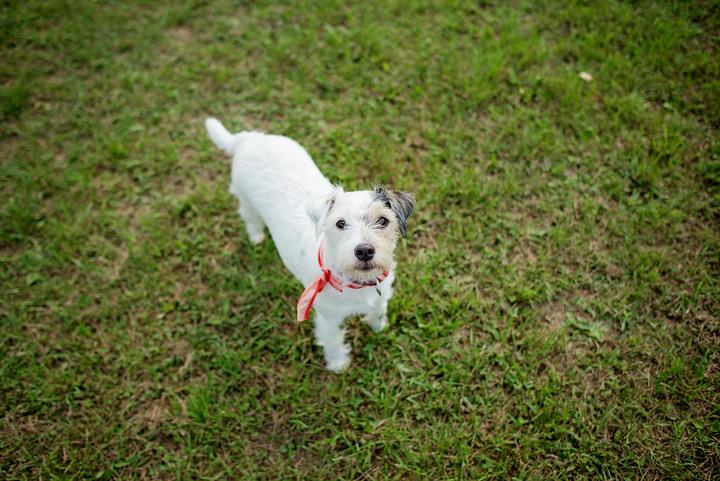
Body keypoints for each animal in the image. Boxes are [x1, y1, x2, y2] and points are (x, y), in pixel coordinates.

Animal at [205, 117, 415, 372]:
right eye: (340, 223)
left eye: (383, 220)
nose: (364, 251)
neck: (353, 281)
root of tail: (250, 138)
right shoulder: (329, 319)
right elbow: (333, 341)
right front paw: (338, 365)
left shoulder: (380, 297)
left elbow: (377, 312)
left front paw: (379, 328)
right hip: (246, 201)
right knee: (250, 218)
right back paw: (256, 237)